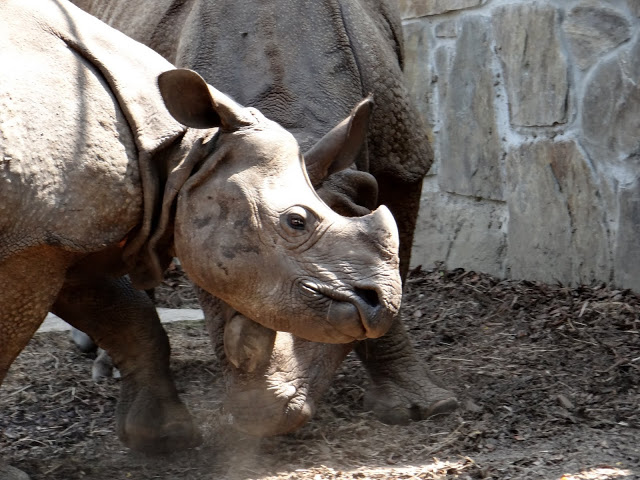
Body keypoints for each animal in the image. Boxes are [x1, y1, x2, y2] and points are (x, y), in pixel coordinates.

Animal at [0, 0, 404, 473]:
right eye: (296, 222)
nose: (381, 303)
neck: (185, 155)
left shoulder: (60, 230)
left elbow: (130, 317)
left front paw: (164, 437)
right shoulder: (34, 238)